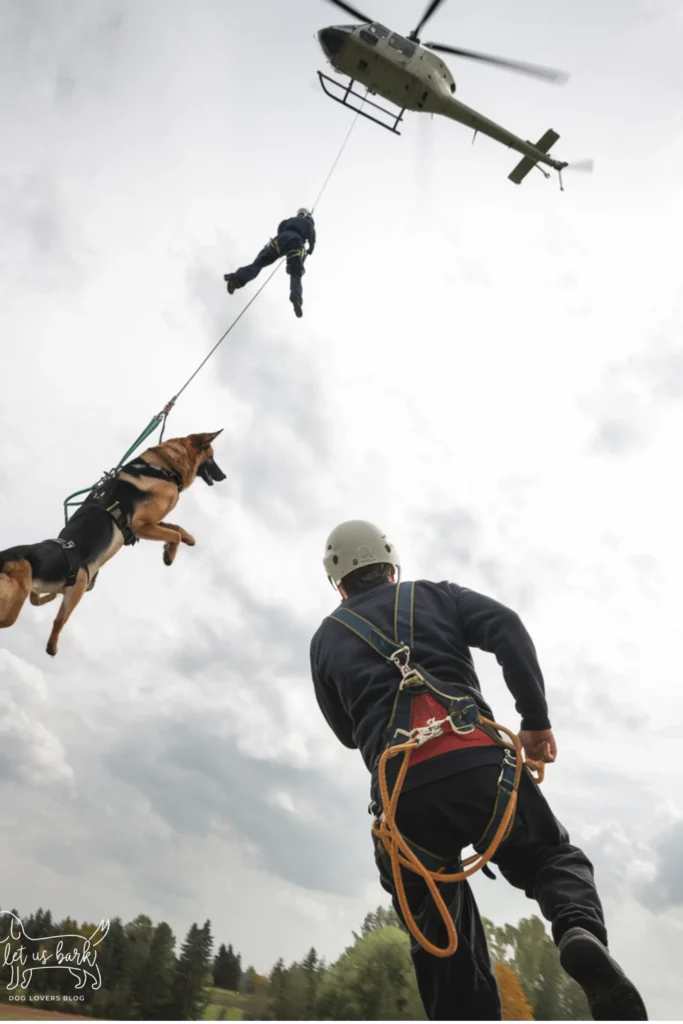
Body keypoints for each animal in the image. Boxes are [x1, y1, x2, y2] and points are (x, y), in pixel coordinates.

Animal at [0, 430, 227, 655]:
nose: (224, 476)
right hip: (44, 596)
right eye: (212, 457)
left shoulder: (150, 524)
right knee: (43, 615)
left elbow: (176, 528)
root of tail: (5, 559)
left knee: (38, 599)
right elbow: (174, 535)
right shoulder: (141, 525)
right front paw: (170, 554)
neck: (164, 467)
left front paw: (189, 539)